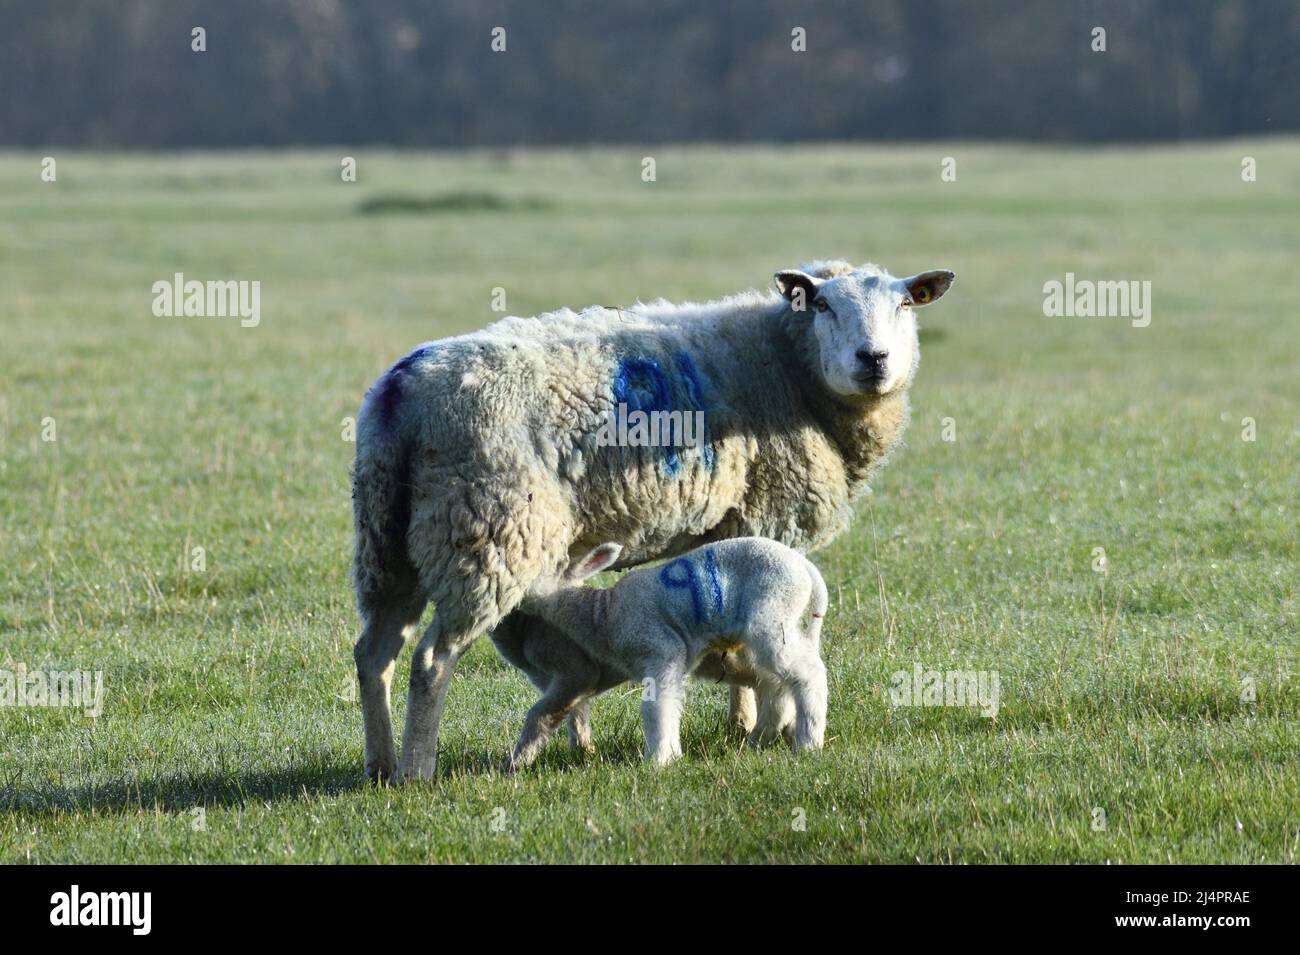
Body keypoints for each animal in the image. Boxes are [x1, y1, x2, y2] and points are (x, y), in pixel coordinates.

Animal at [496, 537, 832, 769]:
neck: (602, 614)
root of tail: (806, 568)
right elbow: (667, 703)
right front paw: (671, 753)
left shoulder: (660, 650)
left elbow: (655, 707)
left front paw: (659, 760)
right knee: (776, 681)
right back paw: (765, 738)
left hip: (773, 612)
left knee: (808, 674)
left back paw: (808, 743)